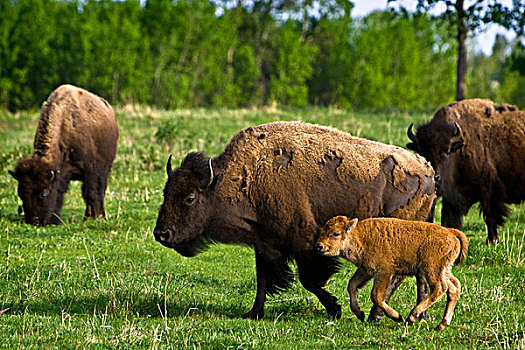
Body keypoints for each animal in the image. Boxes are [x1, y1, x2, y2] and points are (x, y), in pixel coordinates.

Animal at [9, 85, 117, 227]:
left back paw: (99, 216)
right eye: (20, 194)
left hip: (105, 169)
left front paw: (92, 217)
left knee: (100, 191)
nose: (34, 222)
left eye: (44, 193)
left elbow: (91, 193)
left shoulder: (90, 171)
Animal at [152, 121, 434, 320]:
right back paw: (413, 316)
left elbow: (308, 279)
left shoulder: (306, 243)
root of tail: (427, 169)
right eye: (166, 192)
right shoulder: (264, 244)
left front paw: (335, 308)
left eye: (189, 198)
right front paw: (253, 313)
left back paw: (379, 315)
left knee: (399, 276)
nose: (161, 234)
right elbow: (264, 279)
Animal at [316, 216, 466, 330]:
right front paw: (360, 314)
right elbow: (352, 285)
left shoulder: (384, 272)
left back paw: (411, 317)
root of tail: (451, 232)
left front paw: (397, 316)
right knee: (454, 287)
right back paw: (441, 325)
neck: (359, 237)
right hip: (444, 270)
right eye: (322, 230)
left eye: (335, 233)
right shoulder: (365, 271)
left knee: (440, 288)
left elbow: (376, 295)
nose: (319, 246)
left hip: (431, 270)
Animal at [406, 97, 524, 242]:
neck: (459, 150)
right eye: (422, 152)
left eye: (447, 152)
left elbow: (489, 216)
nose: (435, 177)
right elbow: (449, 220)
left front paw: (492, 241)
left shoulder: (490, 191)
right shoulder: (451, 199)